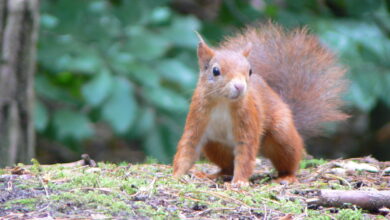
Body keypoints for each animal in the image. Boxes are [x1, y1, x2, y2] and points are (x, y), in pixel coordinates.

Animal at [173, 23, 348, 186]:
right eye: (215, 71)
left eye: (250, 71)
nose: (240, 86)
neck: (223, 103)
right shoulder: (197, 119)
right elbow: (188, 148)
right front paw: (177, 175)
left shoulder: (248, 120)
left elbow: (245, 154)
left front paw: (240, 182)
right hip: (214, 146)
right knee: (228, 167)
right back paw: (211, 175)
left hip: (282, 135)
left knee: (290, 162)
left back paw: (286, 177)